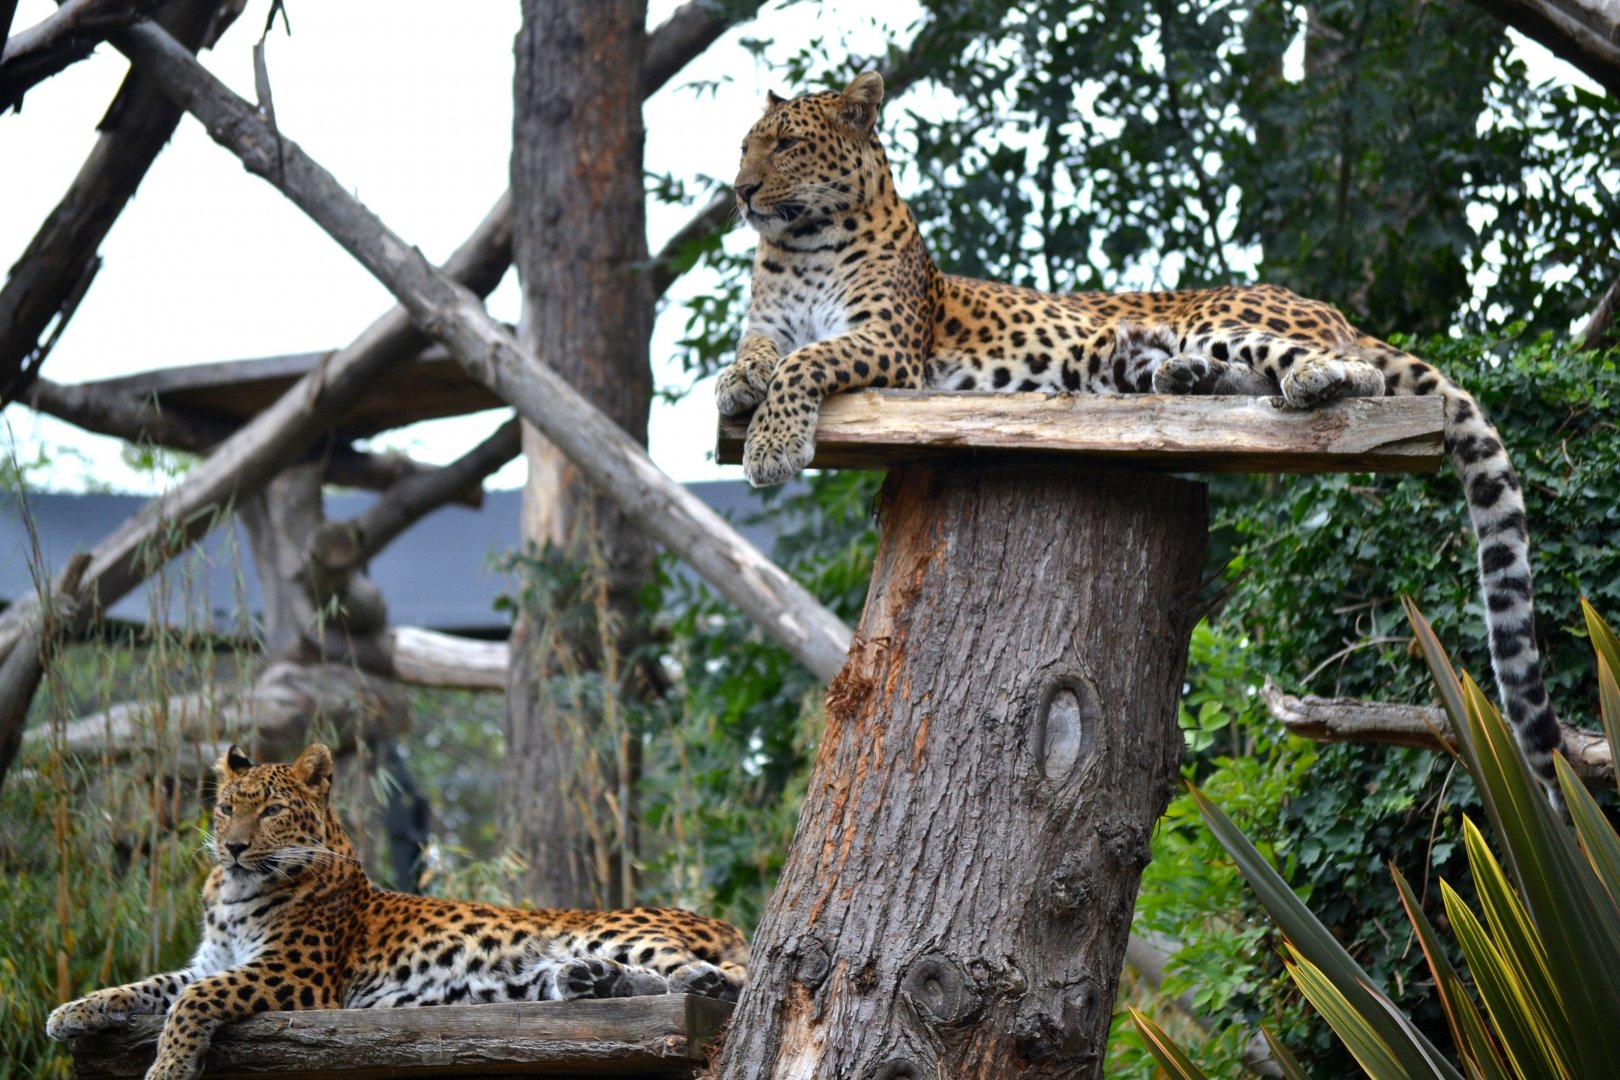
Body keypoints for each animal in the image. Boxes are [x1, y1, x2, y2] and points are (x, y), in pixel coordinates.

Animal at [45, 744, 747, 1080]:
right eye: (225, 808)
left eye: (270, 811)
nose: (233, 847)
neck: (233, 895)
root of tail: (723, 925)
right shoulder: (209, 961)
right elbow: (151, 985)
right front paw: (73, 1011)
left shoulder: (295, 976)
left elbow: (192, 1002)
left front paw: (167, 1067)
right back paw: (587, 979)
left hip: (616, 928)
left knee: (717, 977)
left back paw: (693, 977)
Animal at [715, 71, 1564, 804]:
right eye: (746, 145)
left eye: (784, 145)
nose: (741, 190)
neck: (801, 246)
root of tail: (1327, 307)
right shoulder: (771, 323)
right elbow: (758, 351)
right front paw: (736, 388)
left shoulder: (888, 345)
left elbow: (806, 360)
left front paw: (771, 445)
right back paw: (1178, 379)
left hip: (1229, 321)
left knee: (1344, 373)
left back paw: (1306, 381)